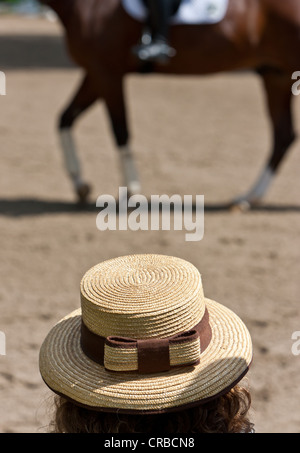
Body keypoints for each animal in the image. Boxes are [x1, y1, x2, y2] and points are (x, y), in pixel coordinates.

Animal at [39, 0, 300, 207]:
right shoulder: (95, 73)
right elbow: (65, 118)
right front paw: (79, 183)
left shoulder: (107, 74)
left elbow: (120, 130)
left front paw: (131, 190)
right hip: (276, 76)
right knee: (283, 136)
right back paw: (249, 197)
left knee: (283, 136)